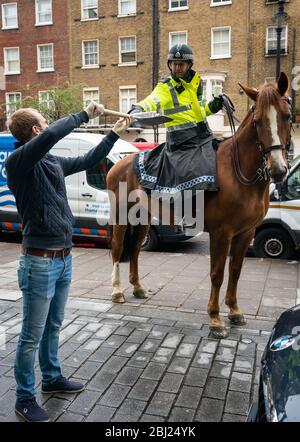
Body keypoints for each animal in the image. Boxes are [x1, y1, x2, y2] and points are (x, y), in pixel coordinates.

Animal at [106, 74, 292, 340]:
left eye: (287, 116)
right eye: (257, 121)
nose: (277, 169)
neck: (239, 172)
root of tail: (119, 164)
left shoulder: (246, 233)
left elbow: (236, 270)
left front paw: (234, 310)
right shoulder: (221, 233)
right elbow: (217, 273)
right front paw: (215, 319)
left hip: (142, 220)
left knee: (135, 251)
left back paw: (138, 288)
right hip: (121, 216)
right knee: (117, 249)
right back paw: (117, 291)